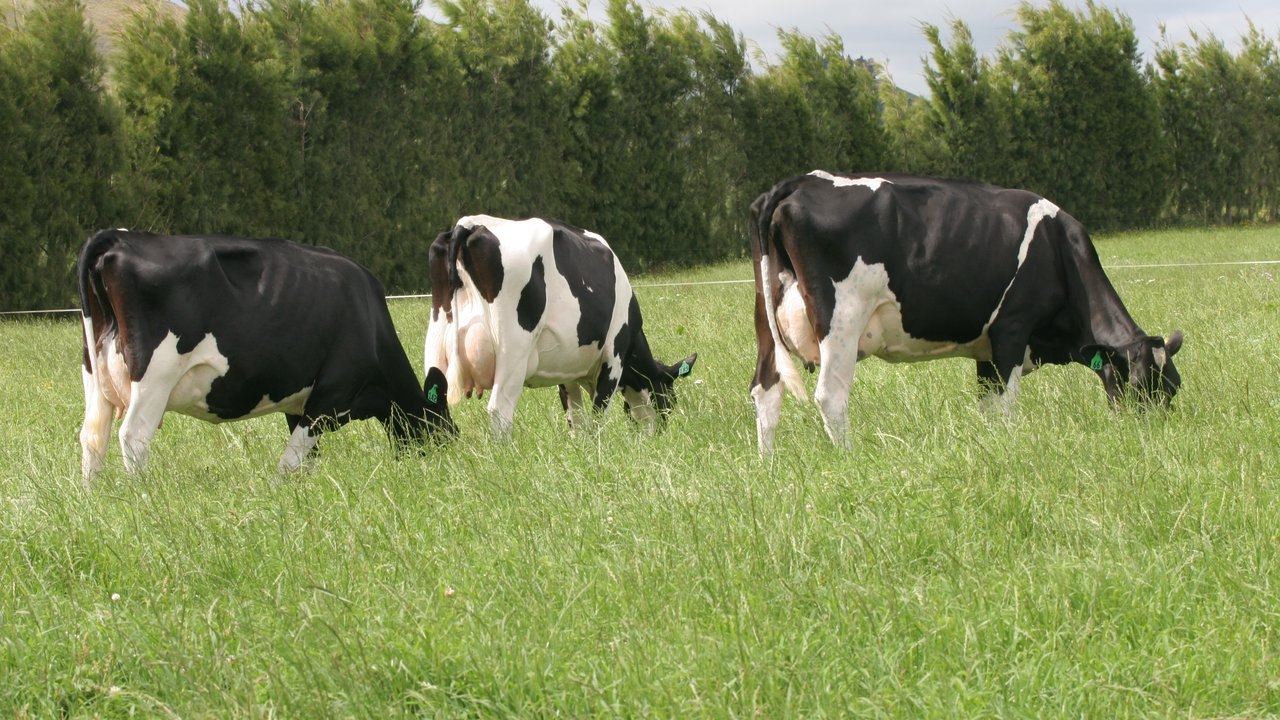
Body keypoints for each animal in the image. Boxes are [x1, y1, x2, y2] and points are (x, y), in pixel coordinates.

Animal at [76, 226, 455, 479]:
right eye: (444, 426)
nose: (449, 462)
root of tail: (119, 237)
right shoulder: (331, 395)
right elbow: (292, 461)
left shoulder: (299, 404)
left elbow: (307, 460)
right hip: (156, 376)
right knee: (134, 436)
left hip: (94, 375)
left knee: (93, 437)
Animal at [424, 215, 696, 435]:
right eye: (669, 401)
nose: (658, 435)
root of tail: (470, 224)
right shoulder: (613, 358)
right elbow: (598, 416)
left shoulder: (568, 372)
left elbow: (575, 419)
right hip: (513, 351)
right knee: (499, 411)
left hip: (435, 345)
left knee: (433, 407)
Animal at [747, 170, 1182, 450]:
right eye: (1138, 385)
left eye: (1172, 388)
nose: (1153, 439)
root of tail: (800, 182)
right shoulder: (1011, 329)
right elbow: (1006, 405)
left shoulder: (986, 351)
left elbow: (988, 405)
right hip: (841, 321)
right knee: (830, 397)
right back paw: (847, 457)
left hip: (765, 320)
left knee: (765, 388)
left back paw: (770, 467)